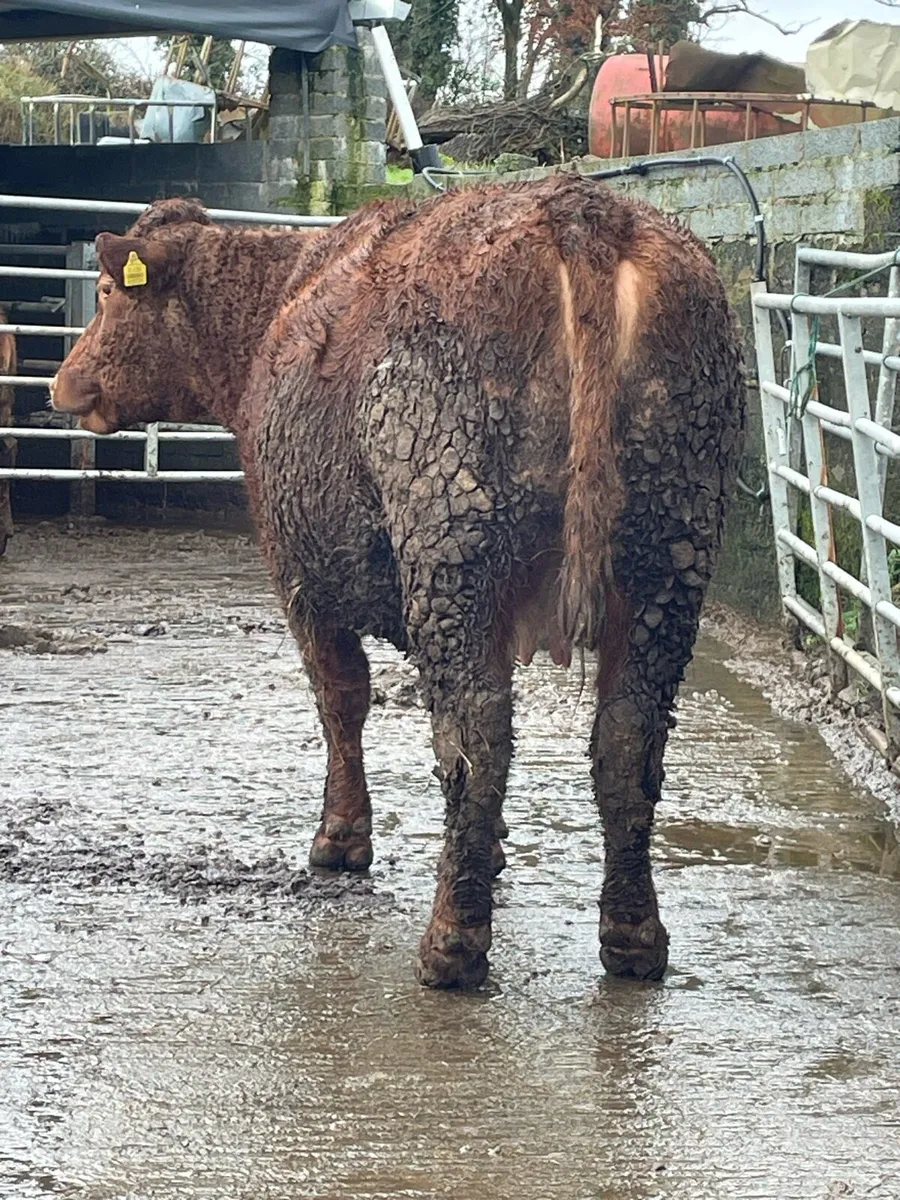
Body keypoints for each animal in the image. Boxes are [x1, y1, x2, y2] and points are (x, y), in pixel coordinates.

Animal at [51, 177, 745, 989]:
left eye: (105, 292)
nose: (64, 381)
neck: (277, 307)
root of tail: (580, 209)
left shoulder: (299, 571)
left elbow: (341, 698)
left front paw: (342, 836)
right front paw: (494, 848)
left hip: (450, 543)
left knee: (476, 730)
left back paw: (454, 938)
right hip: (669, 548)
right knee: (628, 736)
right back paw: (632, 935)